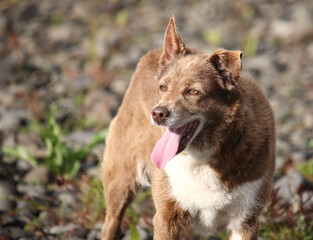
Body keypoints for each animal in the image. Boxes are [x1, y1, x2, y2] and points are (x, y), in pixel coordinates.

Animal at [101, 15, 274, 239]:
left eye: (193, 91)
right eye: (163, 87)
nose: (157, 114)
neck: (201, 156)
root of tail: (152, 54)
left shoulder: (246, 221)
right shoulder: (167, 217)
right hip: (121, 176)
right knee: (112, 221)